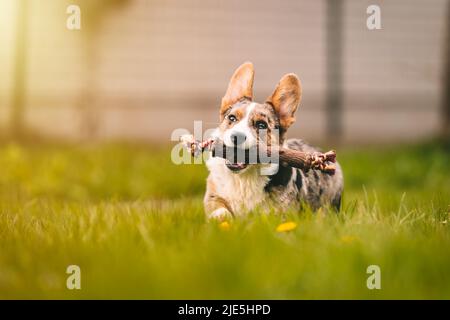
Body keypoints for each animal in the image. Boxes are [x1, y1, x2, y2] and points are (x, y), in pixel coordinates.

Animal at [205, 62, 344, 220]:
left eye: (261, 125)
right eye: (232, 118)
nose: (237, 137)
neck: (244, 177)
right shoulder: (213, 197)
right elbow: (221, 210)